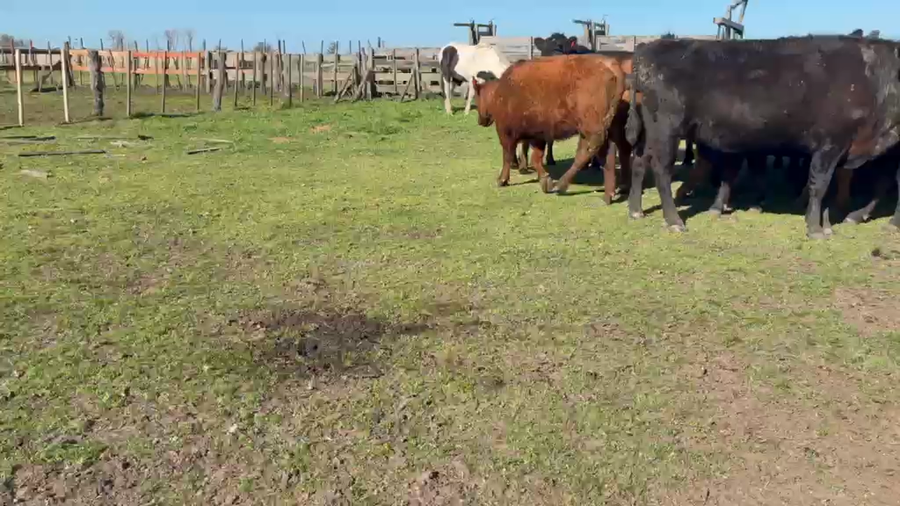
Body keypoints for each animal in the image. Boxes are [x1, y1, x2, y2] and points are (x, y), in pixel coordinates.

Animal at [472, 55, 625, 204]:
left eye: (477, 97)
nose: (480, 121)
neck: (500, 92)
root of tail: (610, 64)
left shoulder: (506, 133)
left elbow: (508, 156)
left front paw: (502, 180)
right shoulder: (538, 136)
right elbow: (535, 157)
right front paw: (545, 181)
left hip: (590, 128)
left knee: (587, 150)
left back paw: (561, 185)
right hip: (604, 128)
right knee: (608, 154)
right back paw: (608, 195)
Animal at [625, 36, 900, 239]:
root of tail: (650, 47)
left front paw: (827, 224)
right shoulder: (830, 145)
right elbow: (819, 186)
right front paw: (815, 229)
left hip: (651, 133)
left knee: (639, 161)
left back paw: (635, 210)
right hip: (666, 129)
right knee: (662, 170)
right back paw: (674, 220)